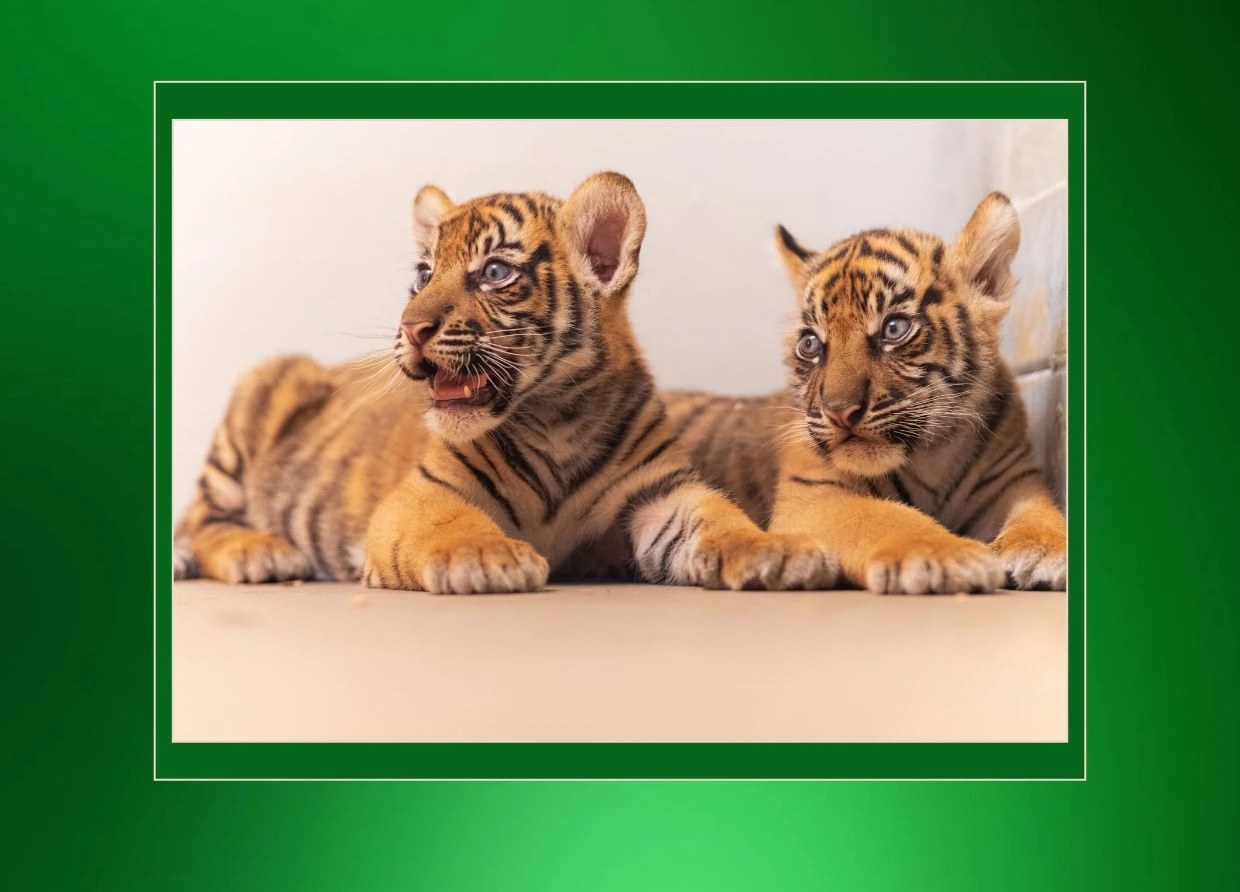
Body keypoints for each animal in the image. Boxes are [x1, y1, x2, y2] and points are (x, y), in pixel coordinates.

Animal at [173, 172, 838, 594]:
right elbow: (453, 524)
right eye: (423, 274)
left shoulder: (660, 494)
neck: (558, 418)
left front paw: (781, 551)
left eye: (494, 273)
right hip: (268, 382)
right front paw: (488, 556)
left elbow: (724, 522)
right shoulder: (420, 495)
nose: (410, 329)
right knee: (198, 521)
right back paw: (260, 552)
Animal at [666, 192, 1067, 594]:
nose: (839, 411)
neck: (932, 455)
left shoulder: (1013, 481)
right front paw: (946, 555)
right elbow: (888, 518)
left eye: (894, 328)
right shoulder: (816, 494)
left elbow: (1040, 511)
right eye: (810, 344)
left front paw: (1048, 549)